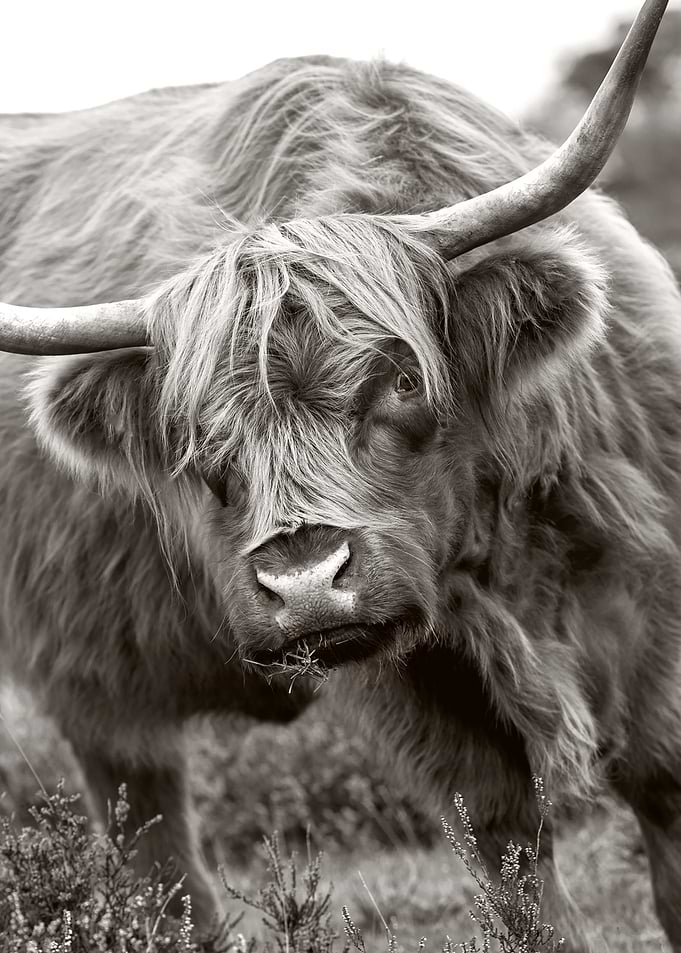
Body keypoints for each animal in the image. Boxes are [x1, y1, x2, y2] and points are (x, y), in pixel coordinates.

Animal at [0, 0, 678, 949]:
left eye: (400, 380)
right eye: (198, 434)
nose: (305, 583)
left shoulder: (650, 607)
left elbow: (662, 799)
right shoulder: (428, 695)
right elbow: (512, 863)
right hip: (92, 682)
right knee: (156, 849)